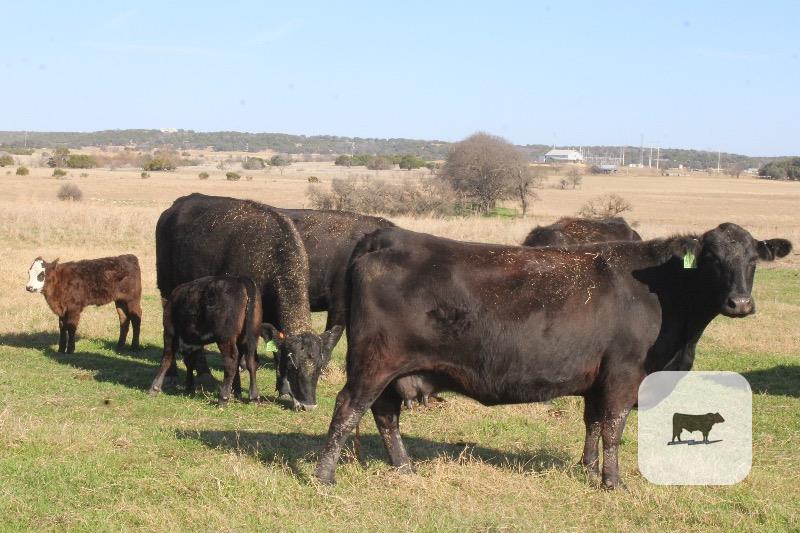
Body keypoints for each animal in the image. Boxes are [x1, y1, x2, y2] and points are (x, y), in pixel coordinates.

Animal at [149, 276, 264, 406]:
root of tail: (241, 280)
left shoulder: (170, 333)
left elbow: (166, 359)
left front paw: (154, 388)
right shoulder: (195, 343)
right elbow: (190, 362)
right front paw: (189, 387)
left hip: (225, 338)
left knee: (231, 362)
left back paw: (223, 398)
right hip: (251, 336)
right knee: (251, 362)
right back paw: (252, 397)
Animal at [314, 223, 791, 488]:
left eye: (753, 259)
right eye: (711, 258)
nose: (740, 303)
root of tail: (389, 236)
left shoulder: (598, 379)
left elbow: (593, 424)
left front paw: (588, 469)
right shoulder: (624, 374)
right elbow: (614, 427)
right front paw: (613, 482)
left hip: (392, 371)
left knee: (385, 414)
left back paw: (405, 469)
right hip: (374, 363)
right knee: (347, 408)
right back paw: (324, 476)